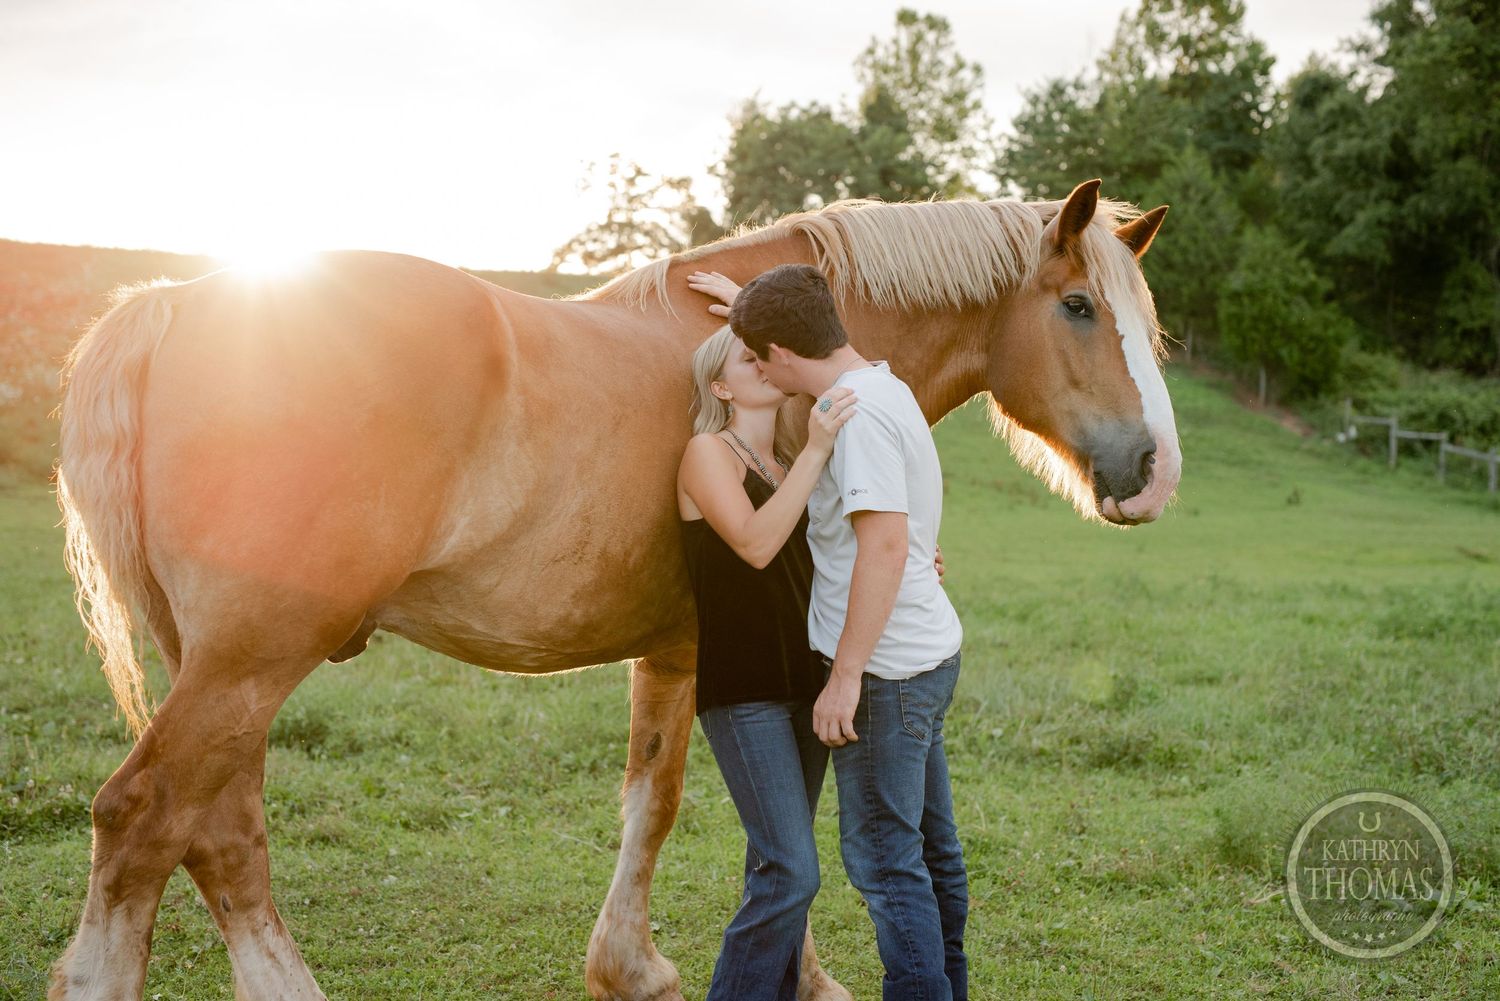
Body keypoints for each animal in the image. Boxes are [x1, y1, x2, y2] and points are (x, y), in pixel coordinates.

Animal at [49, 178, 1177, 1001]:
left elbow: (659, 797)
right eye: (1079, 307)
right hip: (251, 659)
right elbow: (776, 814)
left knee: (220, 830)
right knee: (145, 819)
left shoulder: (678, 651)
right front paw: (791, 976)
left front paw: (631, 965)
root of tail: (178, 304)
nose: (1153, 469)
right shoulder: (777, 658)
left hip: (224, 666)